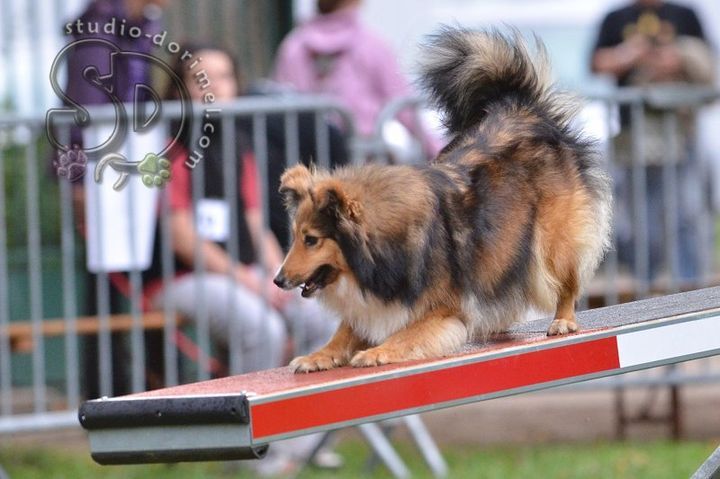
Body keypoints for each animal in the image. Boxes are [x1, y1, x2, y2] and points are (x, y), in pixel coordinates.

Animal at [272, 27, 612, 376]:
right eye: (295, 238)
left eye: (311, 240)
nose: (277, 280)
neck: (386, 244)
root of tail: (519, 108)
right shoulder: (377, 300)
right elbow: (345, 330)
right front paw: (318, 356)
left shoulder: (443, 309)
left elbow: (407, 333)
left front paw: (378, 351)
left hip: (553, 242)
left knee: (567, 282)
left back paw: (563, 320)